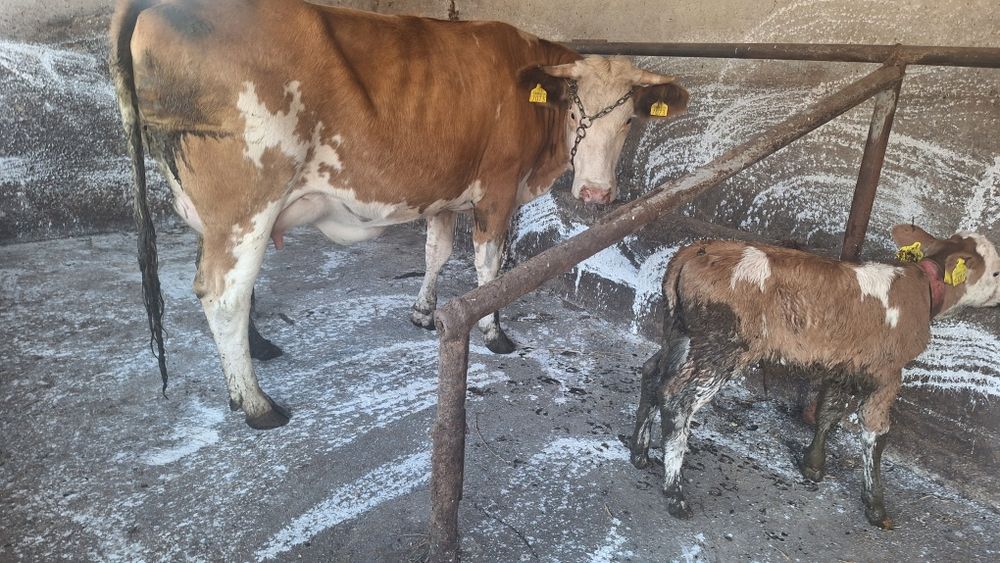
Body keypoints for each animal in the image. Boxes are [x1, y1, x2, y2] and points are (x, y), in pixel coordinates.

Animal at [110, 0, 690, 429]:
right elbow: (489, 268)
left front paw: (424, 312)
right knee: (223, 292)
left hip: (209, 208)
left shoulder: (444, 192)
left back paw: (259, 349)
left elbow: (436, 251)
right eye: (574, 109)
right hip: (248, 197)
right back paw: (256, 404)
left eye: (630, 118)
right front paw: (495, 334)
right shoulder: (497, 190)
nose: (595, 192)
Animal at [629, 226, 1000, 528]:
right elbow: (874, 434)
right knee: (677, 399)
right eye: (996, 272)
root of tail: (696, 250)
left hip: (681, 331)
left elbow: (828, 412)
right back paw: (675, 494)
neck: (922, 288)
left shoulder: (844, 363)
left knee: (652, 373)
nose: (998, 300)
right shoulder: (888, 372)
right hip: (722, 345)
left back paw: (639, 452)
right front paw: (875, 506)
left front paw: (813, 466)